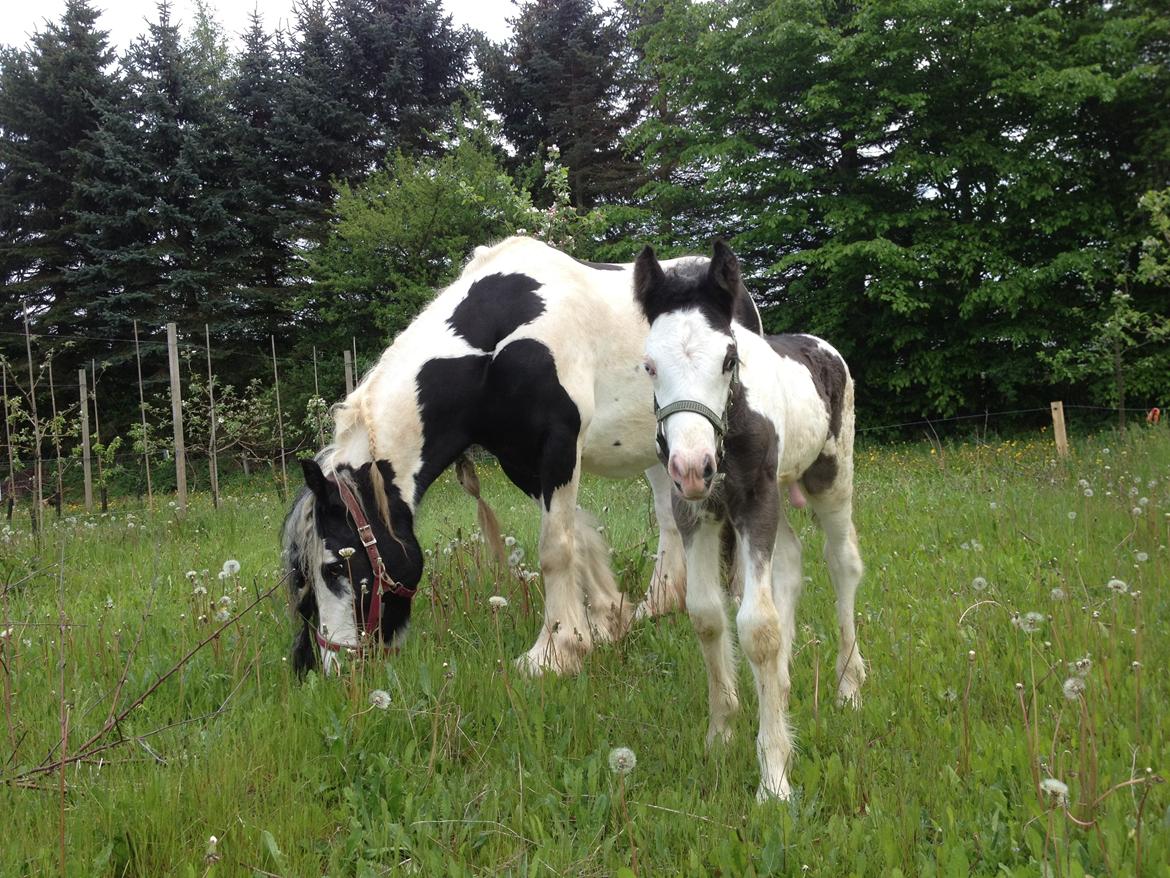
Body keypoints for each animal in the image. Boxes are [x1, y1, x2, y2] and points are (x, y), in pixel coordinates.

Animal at [278, 237, 762, 678]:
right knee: (668, 518)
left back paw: (737, 595)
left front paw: (555, 653)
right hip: (659, 450)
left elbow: (556, 548)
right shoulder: (519, 462)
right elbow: (578, 536)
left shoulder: (559, 446)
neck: (501, 346)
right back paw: (658, 605)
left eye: (335, 567)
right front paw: (607, 620)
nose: (335, 666)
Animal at [636, 242, 865, 805]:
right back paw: (781, 684)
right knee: (790, 563)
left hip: (830, 477)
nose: (692, 467)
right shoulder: (696, 511)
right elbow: (706, 614)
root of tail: (821, 345)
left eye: (728, 359)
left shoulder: (756, 500)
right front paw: (721, 735)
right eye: (649, 365)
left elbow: (757, 626)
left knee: (842, 564)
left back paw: (849, 687)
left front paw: (774, 777)